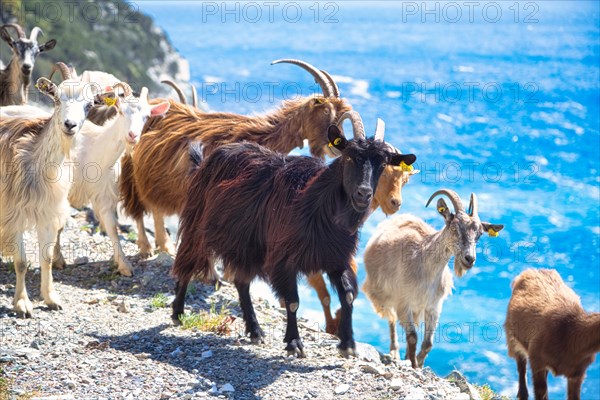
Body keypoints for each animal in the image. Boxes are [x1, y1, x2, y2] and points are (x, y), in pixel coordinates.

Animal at [0, 62, 113, 318]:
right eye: (58, 98)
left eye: (89, 104)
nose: (69, 125)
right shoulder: (14, 213)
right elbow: (21, 262)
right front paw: (22, 304)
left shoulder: (48, 214)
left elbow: (47, 258)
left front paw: (51, 298)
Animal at [120, 59, 352, 256]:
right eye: (326, 111)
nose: (338, 145)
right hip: (133, 171)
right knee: (139, 207)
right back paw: (147, 247)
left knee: (155, 208)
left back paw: (164, 246)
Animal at [171, 111, 418, 358]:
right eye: (349, 156)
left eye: (383, 163)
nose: (363, 194)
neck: (317, 203)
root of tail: (207, 160)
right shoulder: (284, 258)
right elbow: (292, 301)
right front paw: (294, 343)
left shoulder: (336, 257)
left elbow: (347, 295)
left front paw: (348, 344)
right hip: (197, 225)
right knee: (187, 263)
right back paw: (178, 313)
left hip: (247, 247)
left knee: (241, 282)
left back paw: (255, 331)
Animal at [364, 189, 504, 368]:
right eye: (454, 227)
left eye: (479, 234)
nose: (469, 259)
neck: (426, 269)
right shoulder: (404, 302)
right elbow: (412, 336)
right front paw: (413, 364)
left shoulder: (434, 306)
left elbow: (428, 343)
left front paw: (418, 362)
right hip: (383, 295)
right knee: (391, 319)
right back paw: (394, 352)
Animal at [506, 268, 600, 400]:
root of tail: (529, 270)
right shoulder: (536, 359)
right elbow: (541, 392)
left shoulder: (578, 372)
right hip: (511, 335)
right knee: (521, 365)